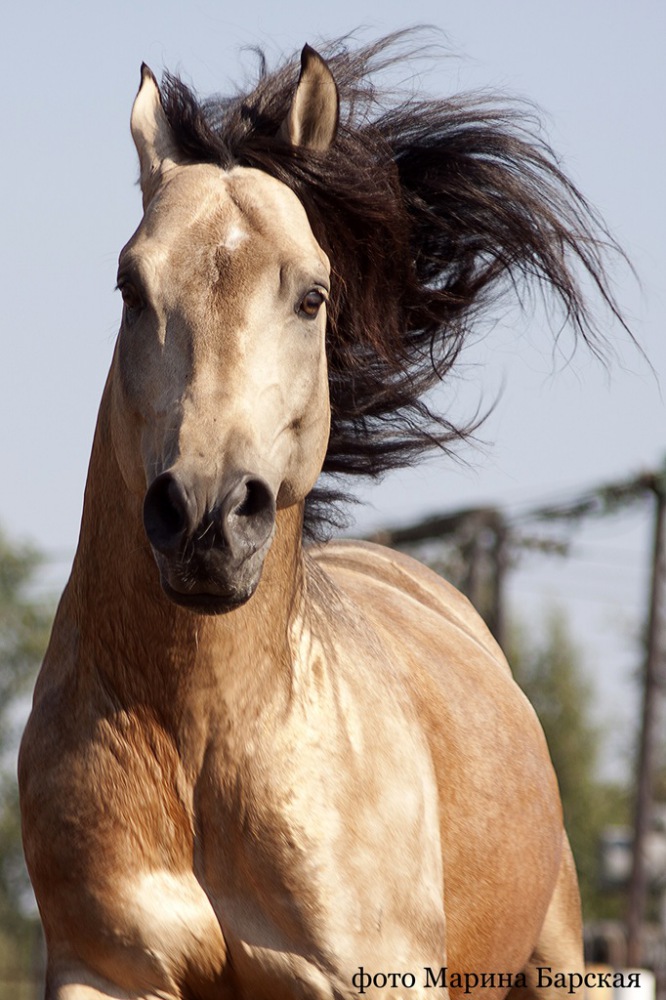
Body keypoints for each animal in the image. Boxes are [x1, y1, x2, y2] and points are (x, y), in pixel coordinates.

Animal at [19, 33, 624, 1000]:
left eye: (312, 295)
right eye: (128, 288)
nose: (206, 518)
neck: (202, 742)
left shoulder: (364, 976)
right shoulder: (106, 969)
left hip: (556, 953)